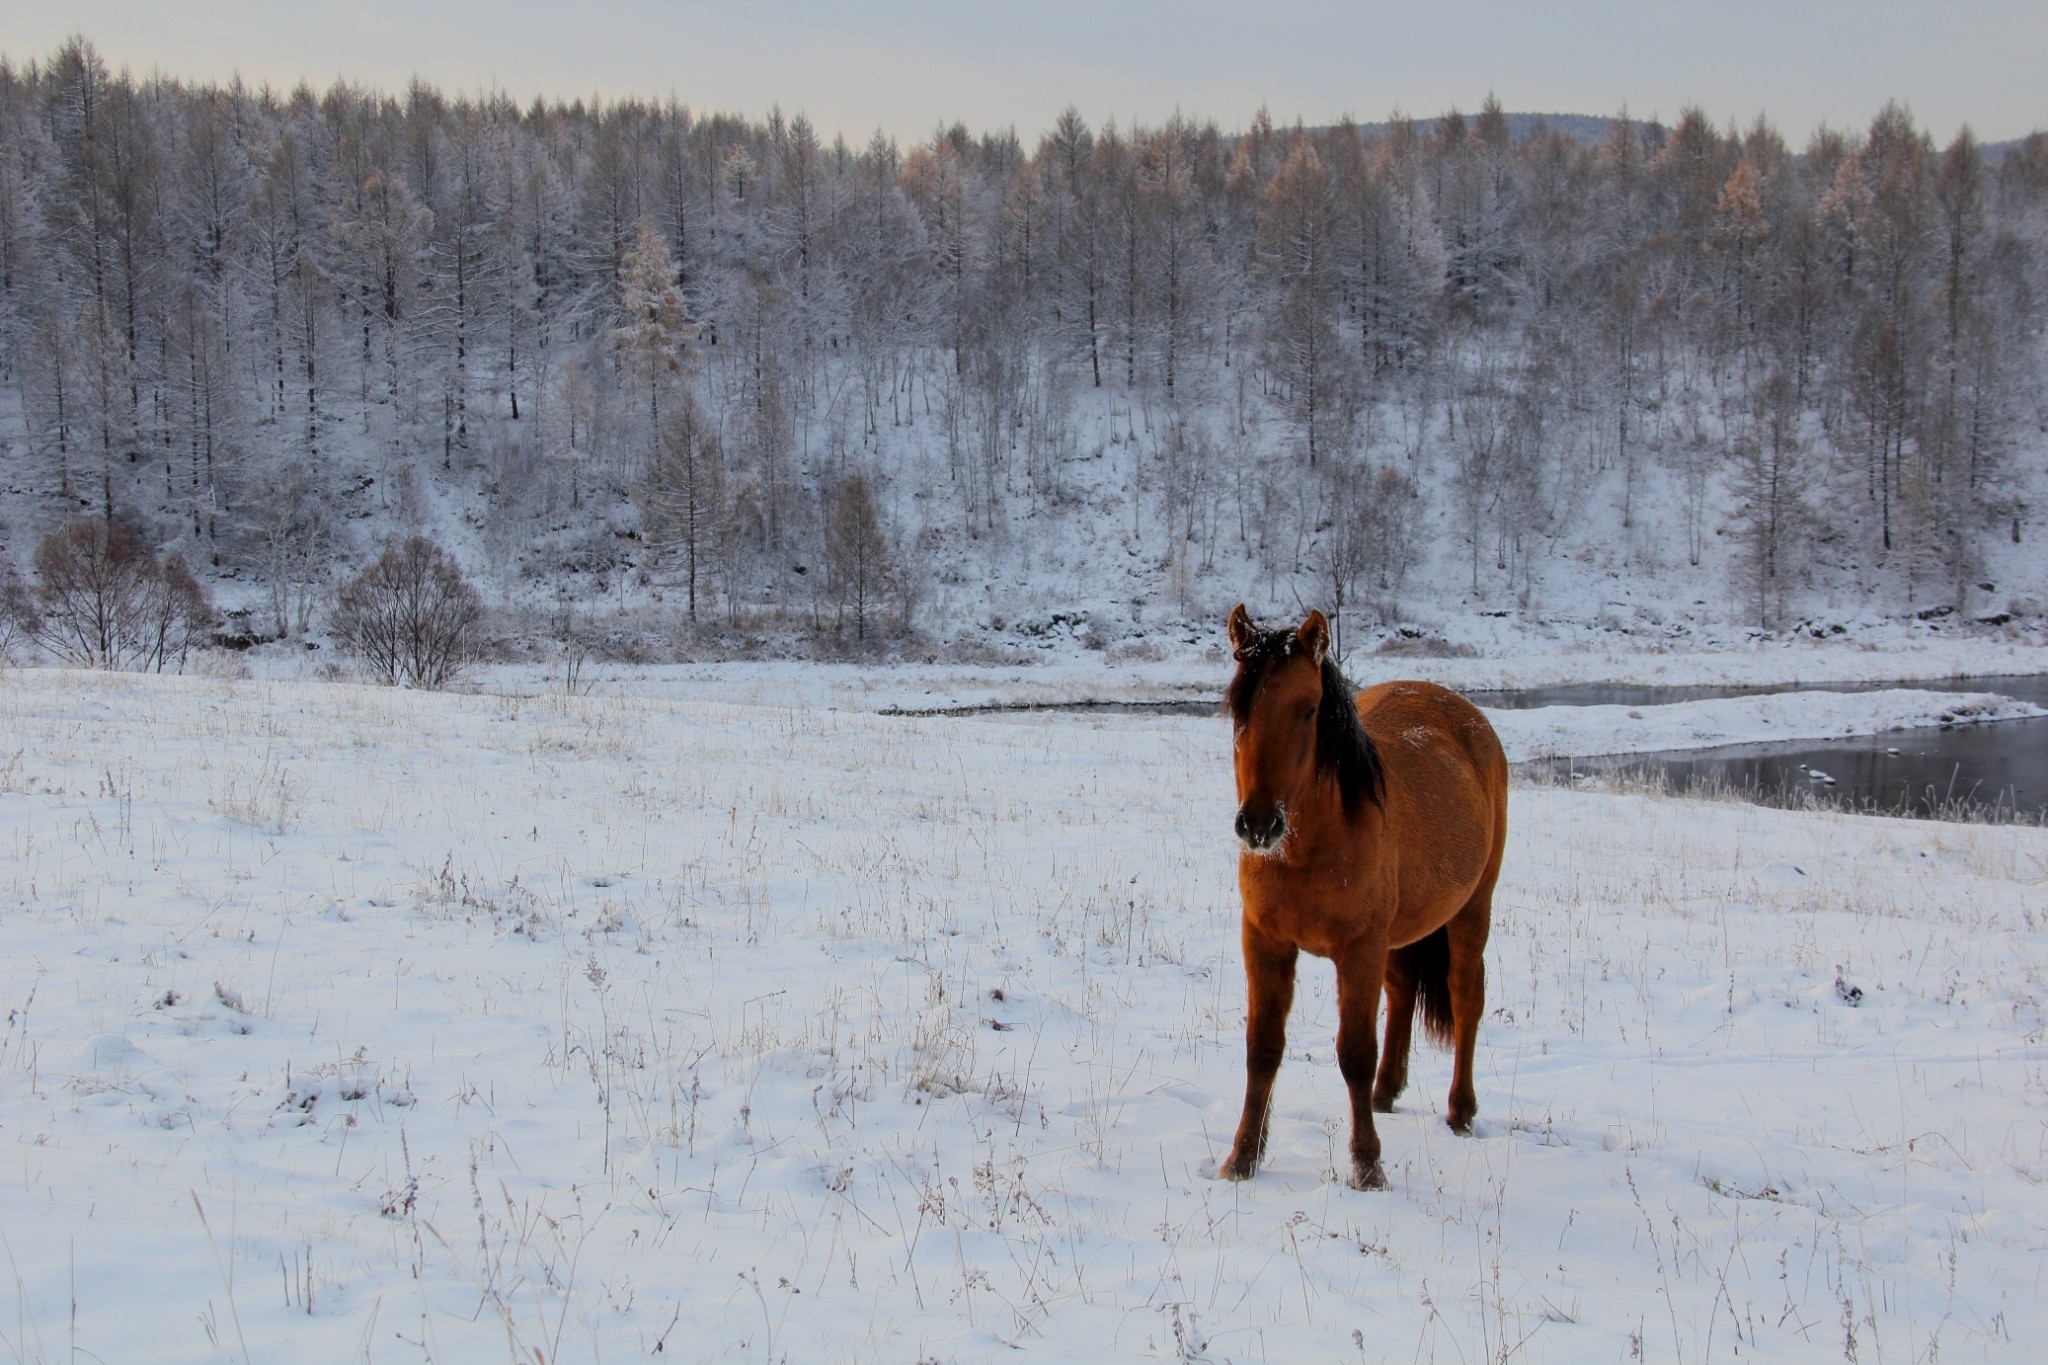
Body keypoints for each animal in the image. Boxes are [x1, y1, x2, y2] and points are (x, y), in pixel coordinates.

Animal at [1212, 609, 1507, 1195]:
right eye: (1239, 708)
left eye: (1308, 710)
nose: (1258, 825)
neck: (1311, 844)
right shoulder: (1265, 942)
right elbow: (1262, 1049)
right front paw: (1242, 1158)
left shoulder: (1359, 949)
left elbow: (1353, 1052)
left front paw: (1368, 1165)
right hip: (1399, 936)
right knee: (1403, 991)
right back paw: (1386, 1092)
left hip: (1471, 910)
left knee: (1466, 998)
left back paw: (1461, 1111)